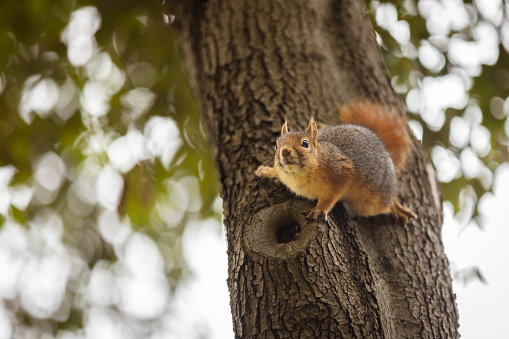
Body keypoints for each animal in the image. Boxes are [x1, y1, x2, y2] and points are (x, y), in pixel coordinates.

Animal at [256, 101, 414, 223]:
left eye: (305, 143)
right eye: (276, 146)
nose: (285, 151)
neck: (297, 174)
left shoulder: (341, 172)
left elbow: (330, 197)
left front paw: (319, 210)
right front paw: (266, 171)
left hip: (375, 201)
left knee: (385, 204)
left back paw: (396, 207)